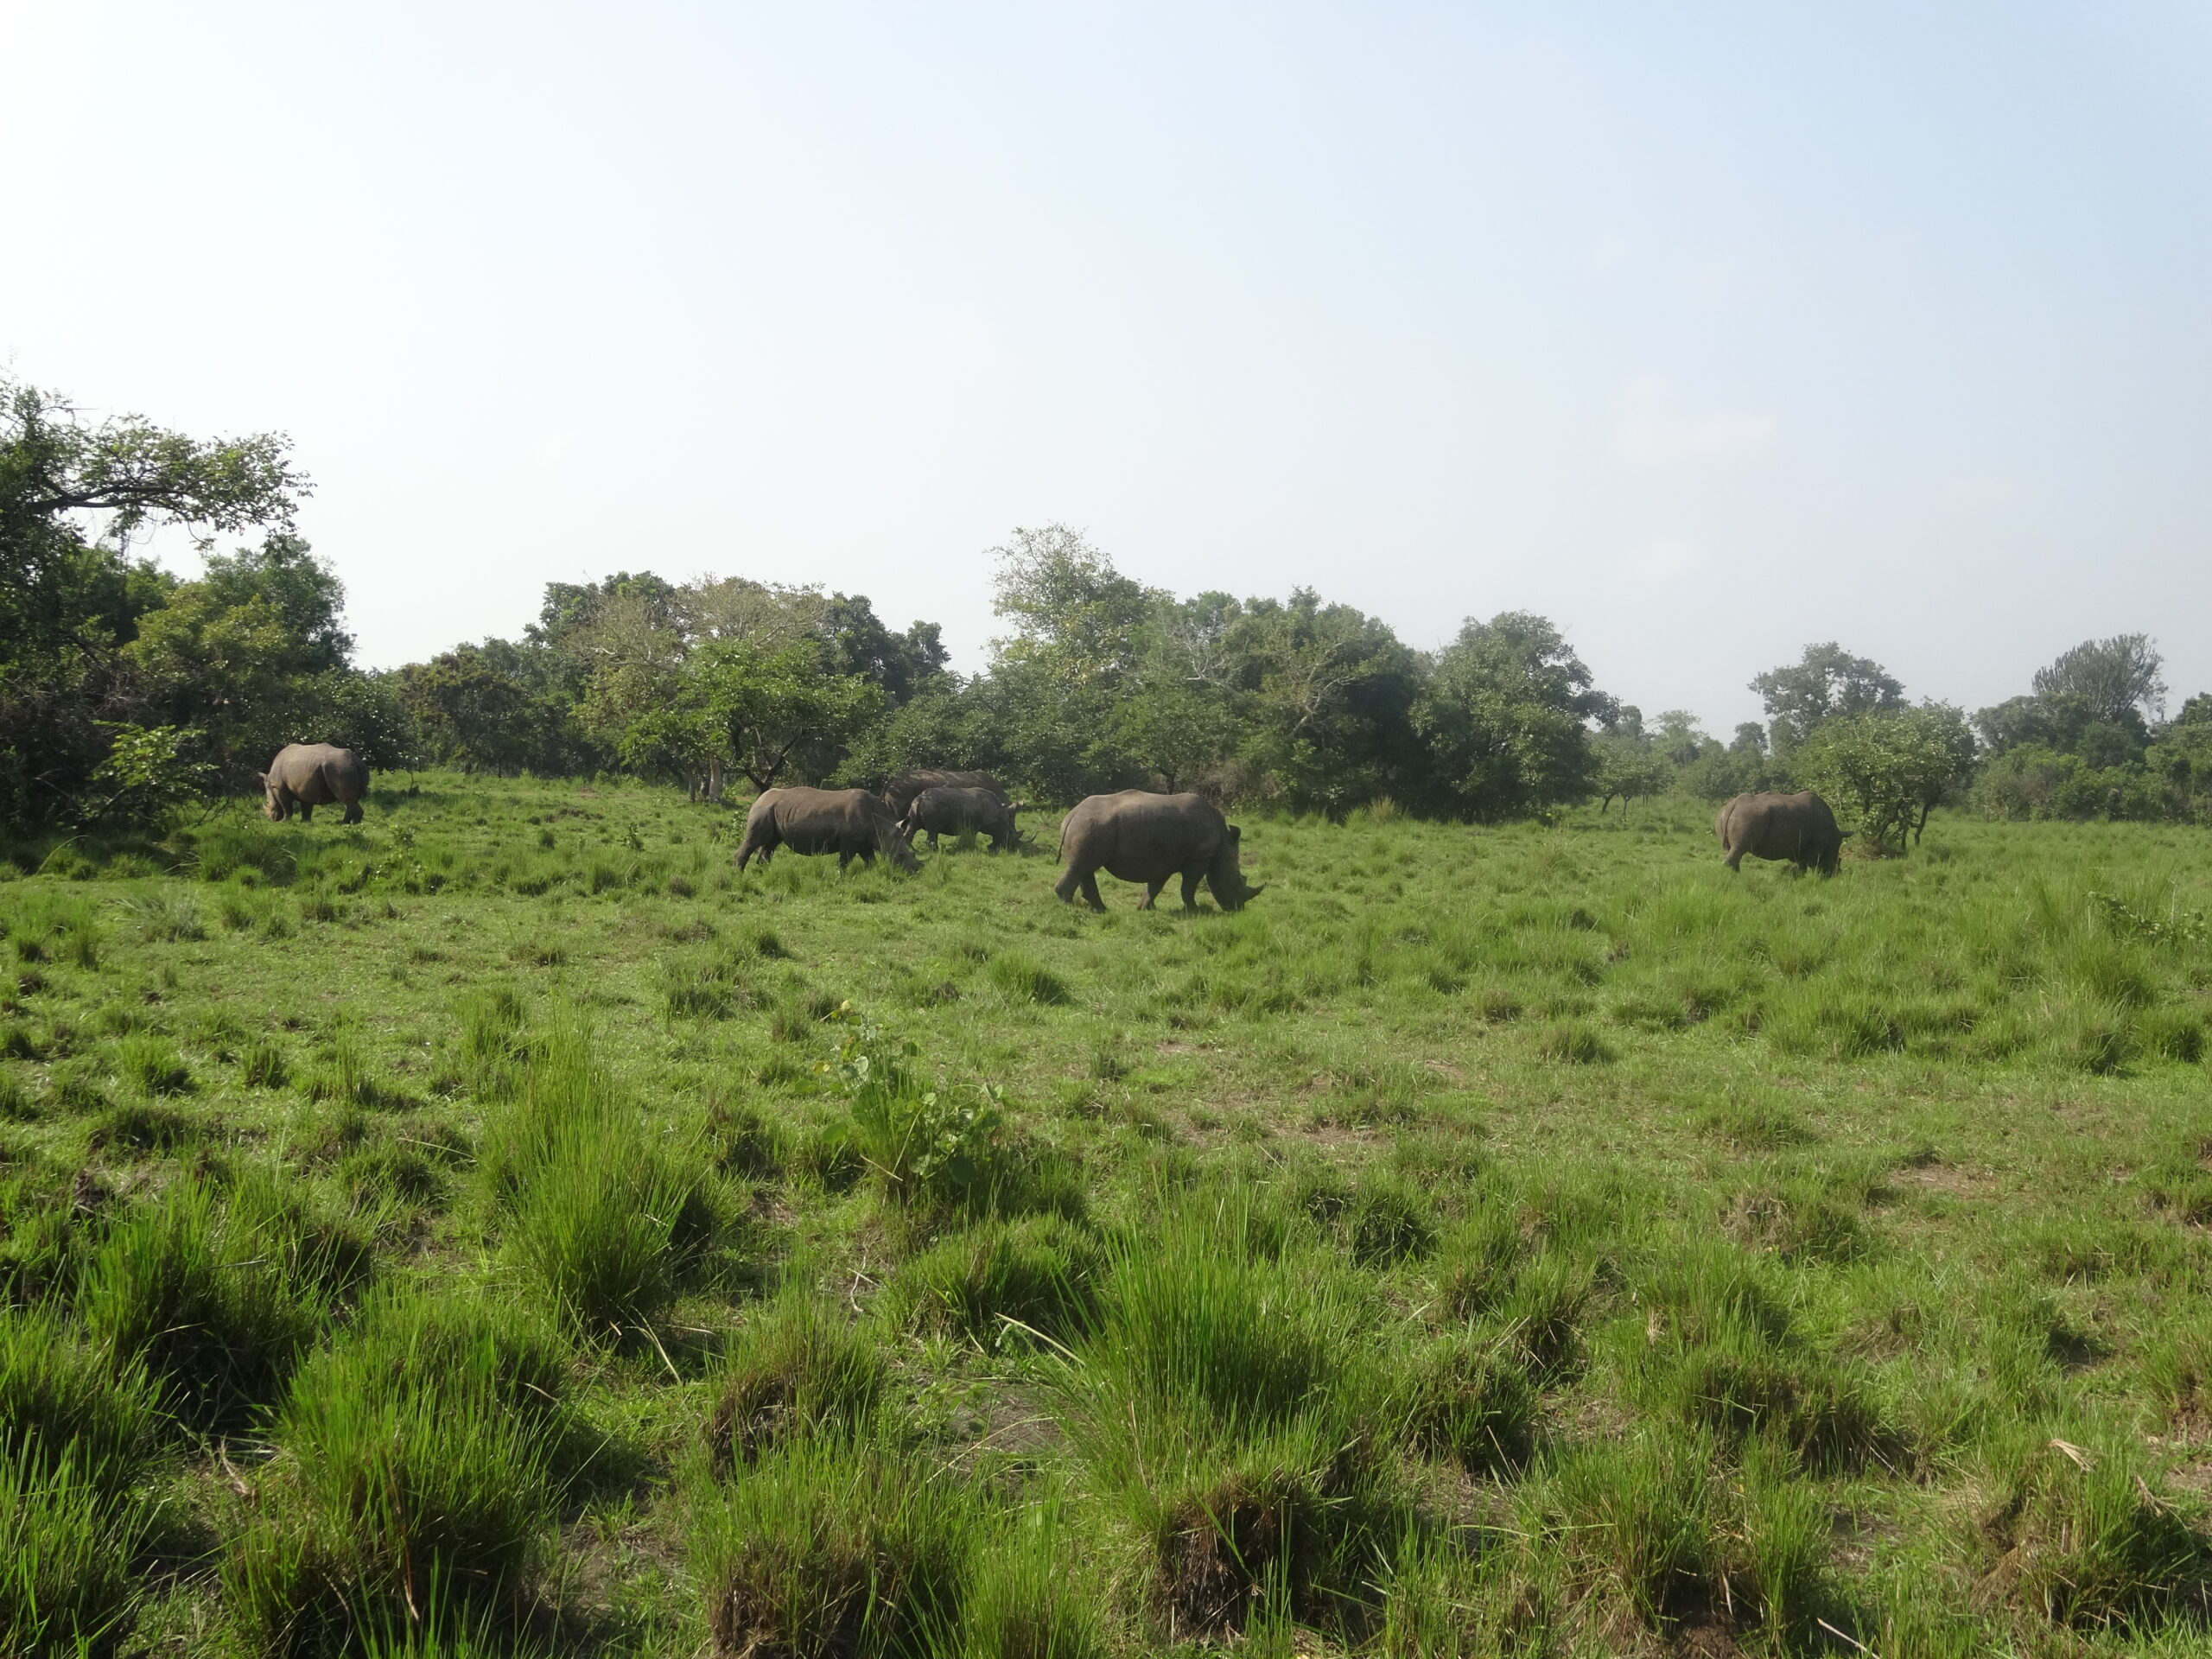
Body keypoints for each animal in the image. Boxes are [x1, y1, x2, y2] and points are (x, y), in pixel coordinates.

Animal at [258, 744, 370, 824]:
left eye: (267, 802)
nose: (270, 819)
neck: (269, 780)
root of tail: (356, 760)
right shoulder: (304, 788)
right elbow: (306, 806)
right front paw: (304, 821)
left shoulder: (278, 786)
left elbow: (286, 805)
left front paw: (284, 821)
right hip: (348, 767)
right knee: (351, 801)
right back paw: (346, 822)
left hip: (340, 768)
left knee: (347, 799)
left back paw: (350, 823)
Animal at [736, 787, 919, 874]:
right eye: (900, 855)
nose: (915, 872)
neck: (883, 827)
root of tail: (759, 798)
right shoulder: (849, 841)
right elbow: (844, 862)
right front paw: (841, 878)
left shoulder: (865, 841)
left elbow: (870, 860)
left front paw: (870, 874)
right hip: (763, 810)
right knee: (754, 841)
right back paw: (739, 875)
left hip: (773, 810)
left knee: (771, 843)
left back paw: (764, 874)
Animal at [901, 786, 1021, 852]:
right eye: (1010, 833)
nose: (1012, 848)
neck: (1000, 815)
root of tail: (920, 798)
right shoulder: (974, 826)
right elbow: (971, 837)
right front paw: (971, 848)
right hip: (931, 806)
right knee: (933, 830)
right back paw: (934, 851)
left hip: (915, 806)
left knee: (913, 826)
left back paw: (913, 851)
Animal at [1054, 790, 1263, 912]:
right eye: (1238, 881)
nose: (1239, 909)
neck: (1223, 844)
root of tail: (1072, 814)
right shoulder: (1199, 858)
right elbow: (1189, 887)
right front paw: (1195, 911)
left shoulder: (1165, 860)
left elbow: (1155, 885)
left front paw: (1145, 908)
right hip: (1091, 827)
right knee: (1083, 866)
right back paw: (1069, 907)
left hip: (1089, 827)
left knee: (1085, 867)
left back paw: (1101, 909)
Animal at [1716, 791, 1846, 875]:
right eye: (1836, 862)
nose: (1836, 875)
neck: (1833, 836)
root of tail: (1734, 804)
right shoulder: (1816, 844)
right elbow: (1804, 864)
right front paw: (1798, 878)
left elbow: (1801, 863)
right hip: (1747, 816)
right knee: (1738, 849)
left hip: (1727, 815)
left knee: (1730, 850)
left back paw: (1736, 876)